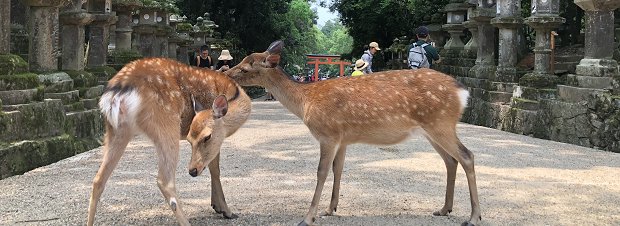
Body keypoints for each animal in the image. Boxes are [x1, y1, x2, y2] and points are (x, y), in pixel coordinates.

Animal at [88, 57, 252, 226]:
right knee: (164, 180)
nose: (192, 171)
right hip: (166, 124)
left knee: (98, 180)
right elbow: (215, 169)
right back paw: (186, 222)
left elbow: (213, 168)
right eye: (205, 136)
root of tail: (116, 94)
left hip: (117, 131)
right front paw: (226, 211)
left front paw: (218, 207)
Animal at [225, 40, 482, 226]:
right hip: (431, 130)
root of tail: (463, 92)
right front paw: (331, 208)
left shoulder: (327, 133)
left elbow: (321, 172)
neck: (305, 101)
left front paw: (308, 217)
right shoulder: (343, 139)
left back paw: (473, 217)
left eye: (246, 66)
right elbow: (338, 170)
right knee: (451, 160)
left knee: (467, 156)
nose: (226, 72)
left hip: (441, 124)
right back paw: (444, 209)